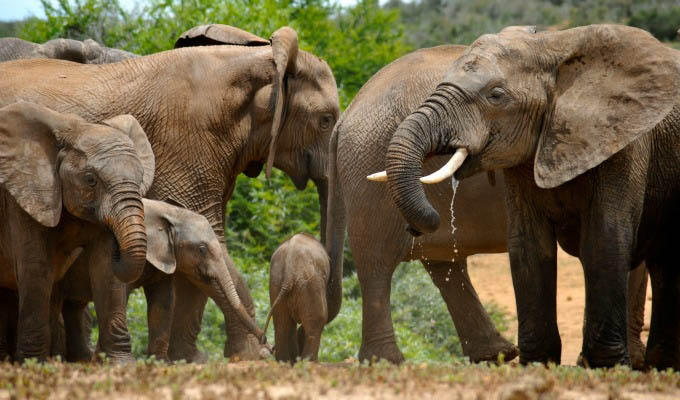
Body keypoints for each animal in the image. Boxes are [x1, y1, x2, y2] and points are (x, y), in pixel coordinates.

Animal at [0, 101, 153, 362]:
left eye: (141, 178)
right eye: (91, 180)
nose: (118, 245)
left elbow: (105, 271)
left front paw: (121, 364)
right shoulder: (25, 195)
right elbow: (36, 268)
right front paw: (33, 364)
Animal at [50, 198, 266, 360]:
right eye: (202, 249)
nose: (265, 343)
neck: (170, 213)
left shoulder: (165, 257)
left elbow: (163, 302)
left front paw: (159, 363)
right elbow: (121, 296)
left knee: (73, 306)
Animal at [262, 233, 330, 364]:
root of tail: (289, 274)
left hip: (276, 284)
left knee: (282, 323)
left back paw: (285, 362)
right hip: (310, 283)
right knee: (318, 319)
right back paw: (309, 362)